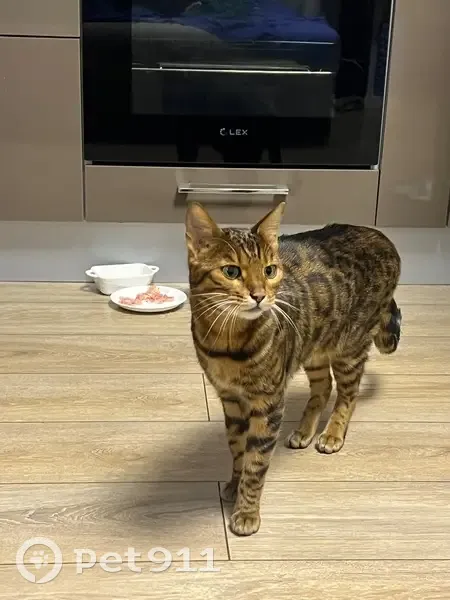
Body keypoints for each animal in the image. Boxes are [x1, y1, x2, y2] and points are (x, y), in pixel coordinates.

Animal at [185, 201, 401, 537]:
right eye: (231, 271)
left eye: (269, 270)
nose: (260, 295)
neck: (227, 341)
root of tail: (381, 236)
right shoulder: (230, 399)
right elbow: (237, 448)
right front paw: (234, 483)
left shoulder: (268, 403)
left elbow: (256, 462)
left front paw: (247, 512)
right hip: (314, 348)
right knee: (324, 387)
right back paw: (304, 431)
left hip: (350, 347)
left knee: (348, 395)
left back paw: (332, 433)